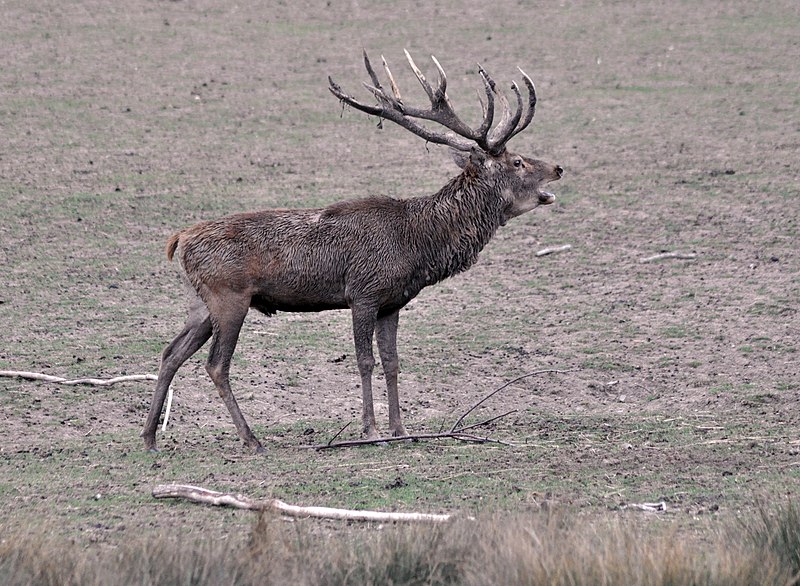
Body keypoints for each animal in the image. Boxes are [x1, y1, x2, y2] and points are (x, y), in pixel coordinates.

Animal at [141, 51, 564, 452]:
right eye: (517, 161)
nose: (558, 168)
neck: (417, 244)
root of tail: (179, 239)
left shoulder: (393, 302)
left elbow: (392, 362)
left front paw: (401, 430)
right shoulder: (363, 292)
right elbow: (365, 361)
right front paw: (372, 431)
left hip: (201, 303)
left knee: (171, 352)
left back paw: (149, 438)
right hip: (228, 297)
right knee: (216, 364)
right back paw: (251, 439)